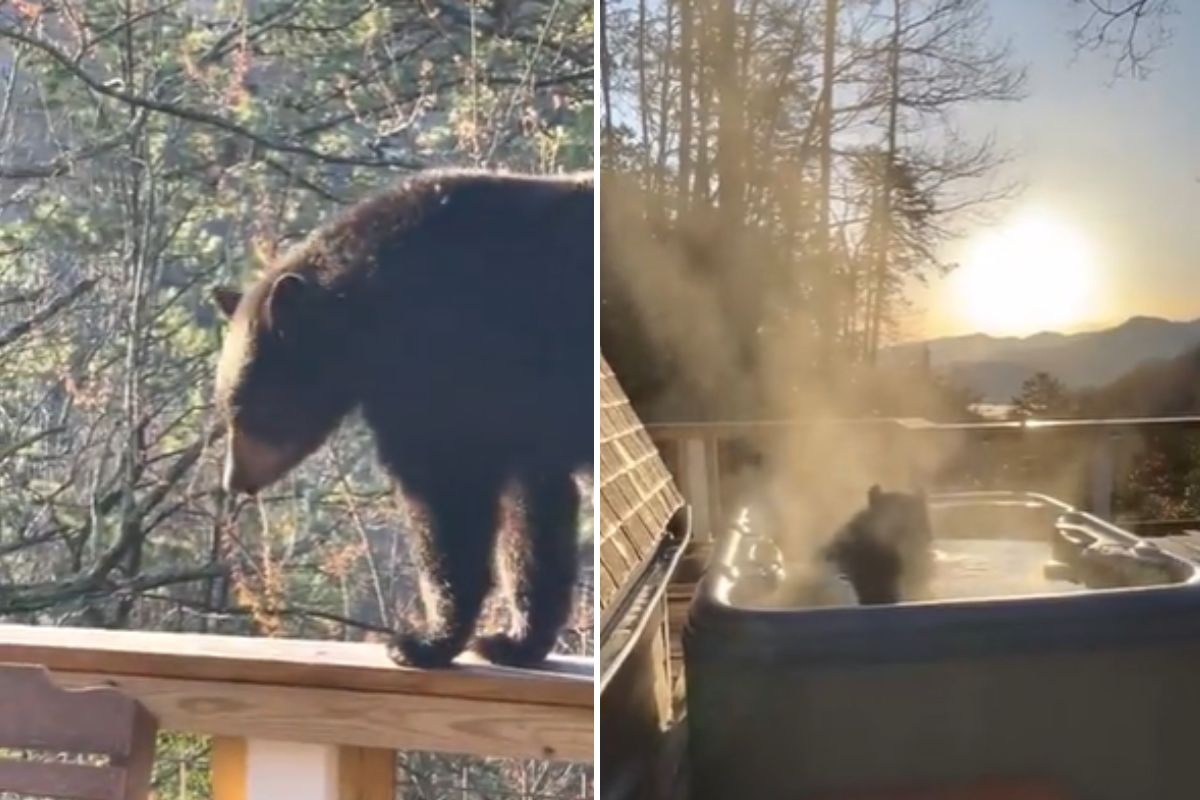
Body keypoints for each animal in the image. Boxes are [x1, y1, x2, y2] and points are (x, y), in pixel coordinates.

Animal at [214, 170, 595, 671]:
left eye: (242, 407)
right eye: (224, 407)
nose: (234, 481)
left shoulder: (438, 362)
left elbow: (445, 494)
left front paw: (423, 641)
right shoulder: (519, 419)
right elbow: (535, 510)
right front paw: (514, 640)